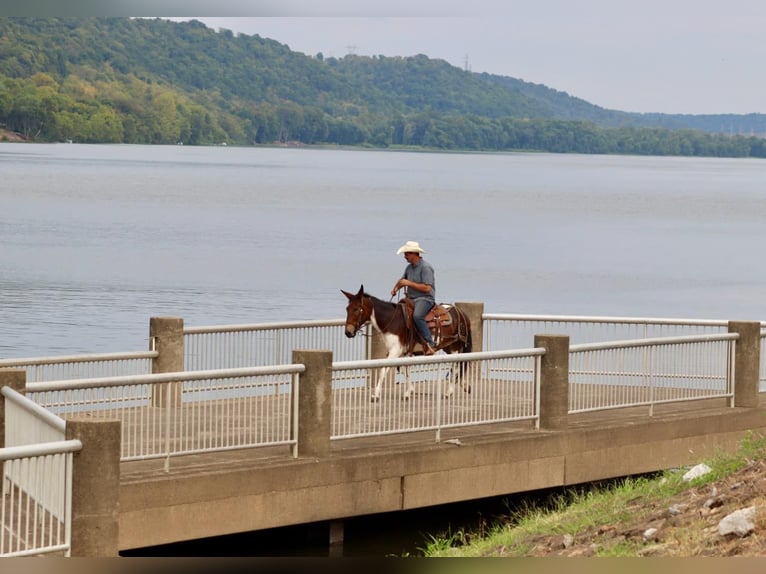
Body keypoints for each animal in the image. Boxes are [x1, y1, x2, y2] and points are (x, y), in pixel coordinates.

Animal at [342, 286, 474, 402]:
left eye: (357, 309)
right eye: (347, 309)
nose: (348, 332)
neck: (392, 320)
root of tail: (462, 313)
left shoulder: (395, 351)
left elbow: (384, 370)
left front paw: (375, 395)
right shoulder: (401, 352)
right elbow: (405, 370)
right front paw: (408, 392)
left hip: (455, 346)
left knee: (456, 366)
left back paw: (450, 391)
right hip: (448, 346)